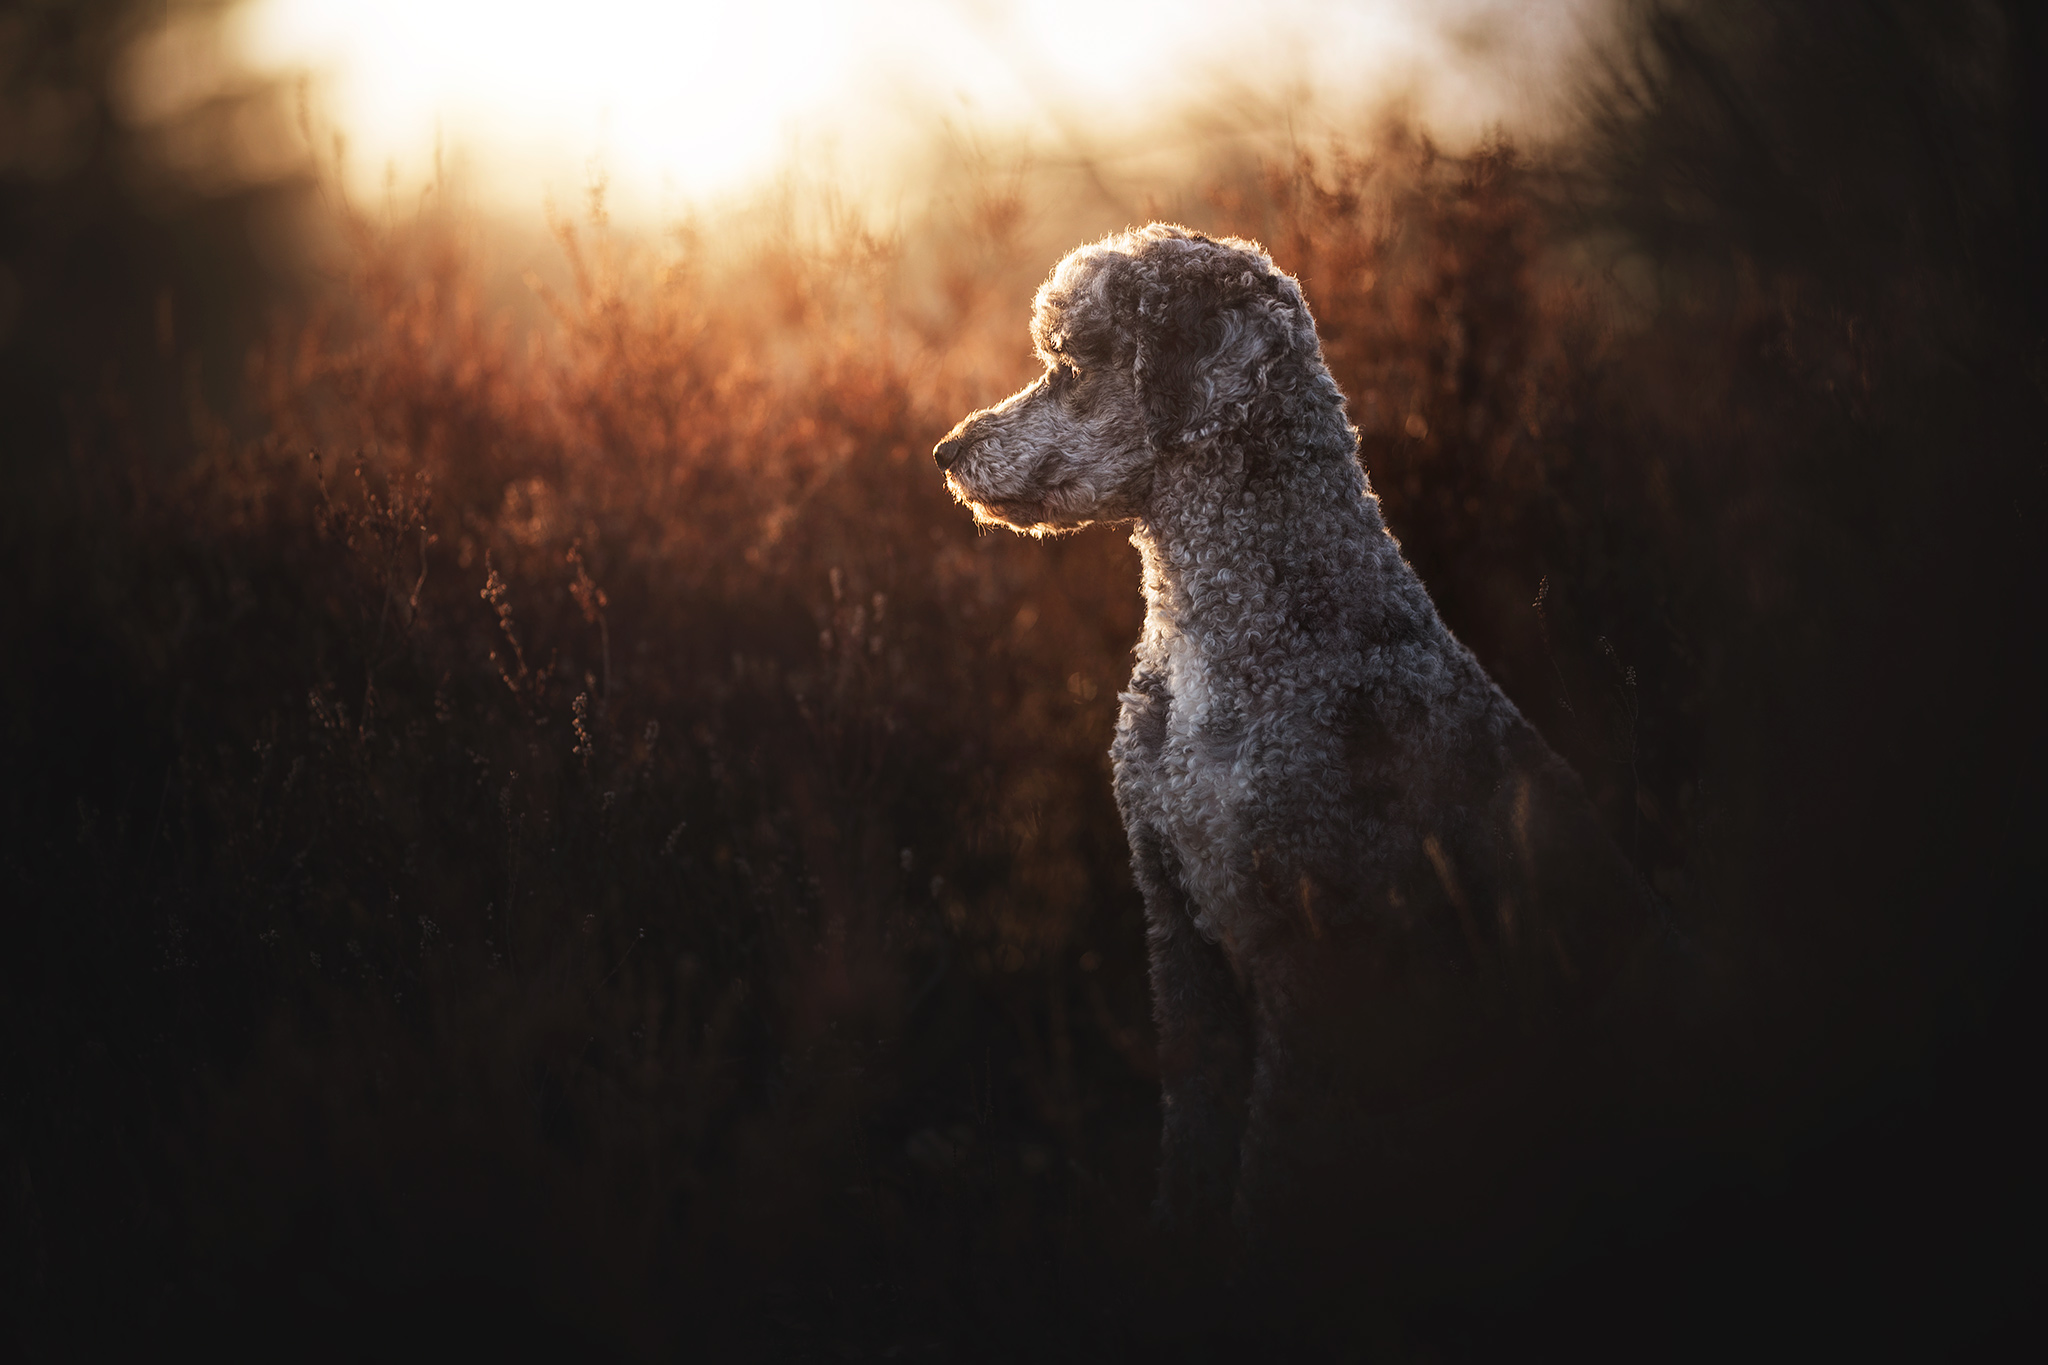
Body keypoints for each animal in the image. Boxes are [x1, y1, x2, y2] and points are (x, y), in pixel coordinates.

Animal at [937, 227, 1654, 1260]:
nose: (946, 451)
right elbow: (1194, 1125)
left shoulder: (1314, 951)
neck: (1230, 632)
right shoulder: (1174, 919)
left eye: (1070, 364)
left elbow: (1276, 1157)